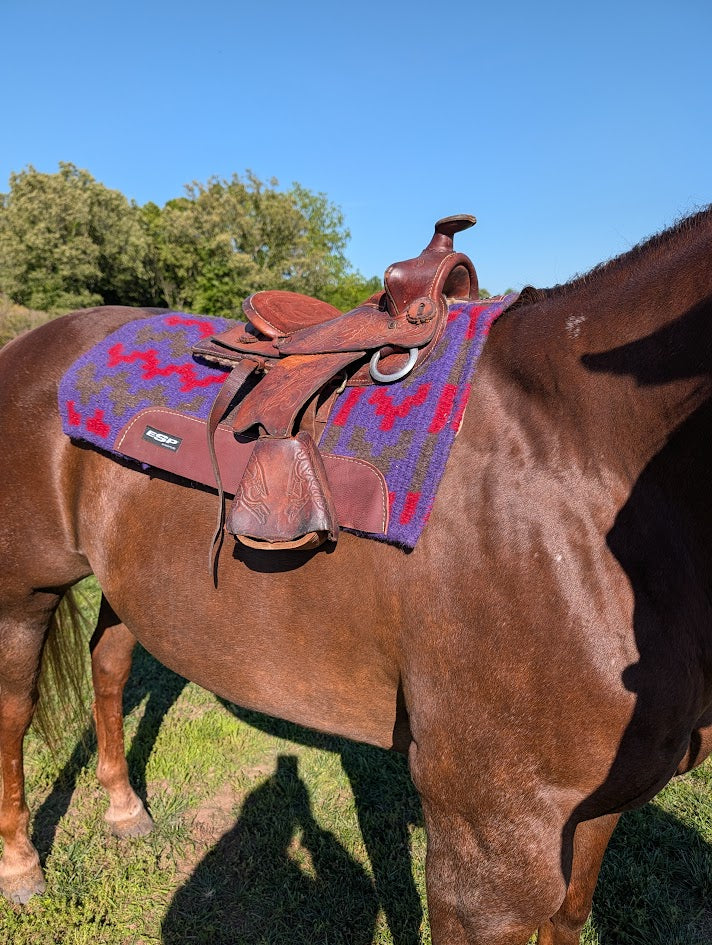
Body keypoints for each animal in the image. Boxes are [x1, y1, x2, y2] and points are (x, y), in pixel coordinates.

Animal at [1, 205, 712, 945]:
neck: (581, 457)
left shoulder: (599, 809)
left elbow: (569, 915)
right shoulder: (492, 846)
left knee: (108, 665)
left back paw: (123, 809)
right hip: (25, 587)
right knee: (15, 707)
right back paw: (22, 867)